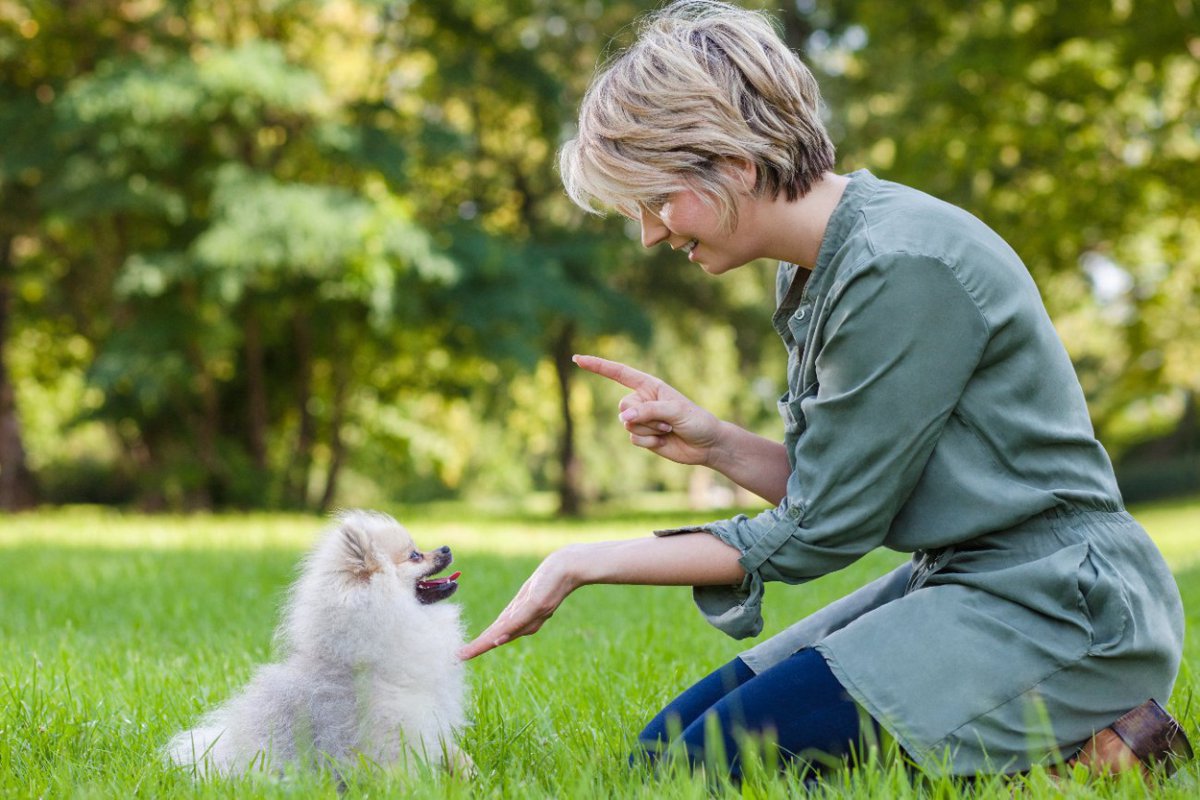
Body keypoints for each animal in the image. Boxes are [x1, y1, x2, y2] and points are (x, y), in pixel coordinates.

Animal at [169, 510, 468, 777]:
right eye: (415, 555)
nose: (446, 547)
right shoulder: (393, 727)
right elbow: (402, 769)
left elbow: (450, 750)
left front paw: (465, 770)